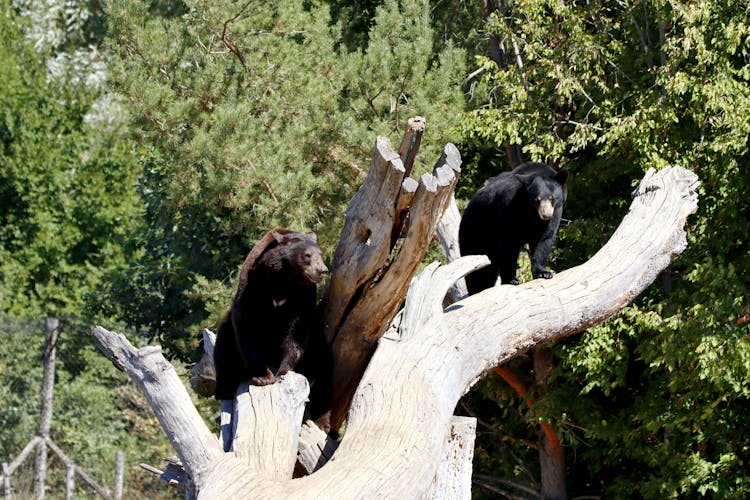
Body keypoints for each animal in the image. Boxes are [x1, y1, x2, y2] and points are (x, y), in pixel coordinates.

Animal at [213, 229, 328, 400]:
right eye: (307, 255)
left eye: (321, 254)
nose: (322, 270)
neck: (283, 281)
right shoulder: (254, 286)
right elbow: (247, 326)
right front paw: (263, 377)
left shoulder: (303, 296)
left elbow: (297, 331)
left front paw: (282, 372)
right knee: (224, 345)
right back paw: (224, 387)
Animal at [458, 161, 568, 292]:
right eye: (537, 200)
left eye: (552, 198)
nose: (546, 215)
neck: (532, 213)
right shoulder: (510, 207)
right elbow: (508, 242)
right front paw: (512, 280)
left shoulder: (555, 213)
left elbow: (544, 239)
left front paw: (543, 273)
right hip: (476, 231)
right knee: (479, 271)